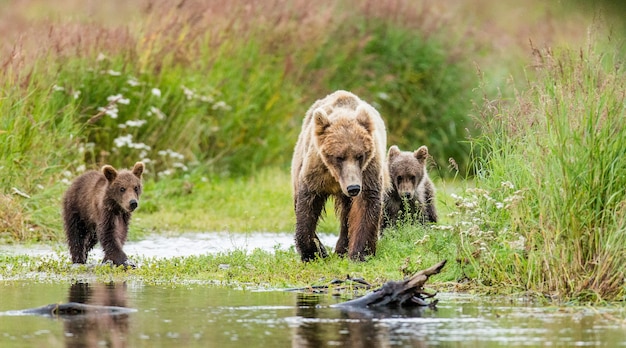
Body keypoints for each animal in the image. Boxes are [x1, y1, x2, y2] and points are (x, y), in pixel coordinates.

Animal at [292, 91, 386, 262]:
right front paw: (312, 252)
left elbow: (365, 206)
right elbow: (307, 206)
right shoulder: (316, 172)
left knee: (347, 215)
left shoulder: (367, 172)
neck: (336, 177)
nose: (353, 188)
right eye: (339, 157)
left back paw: (342, 248)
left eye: (360, 155)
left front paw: (359, 253)